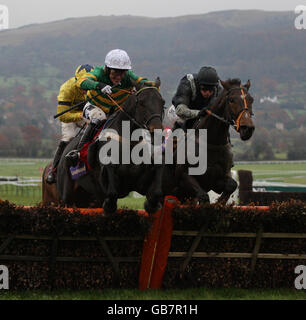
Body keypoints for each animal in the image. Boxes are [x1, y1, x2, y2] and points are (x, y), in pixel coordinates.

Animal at [55, 78, 165, 212]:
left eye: (162, 102)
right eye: (141, 103)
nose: (157, 132)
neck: (130, 143)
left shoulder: (139, 180)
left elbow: (156, 190)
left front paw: (152, 204)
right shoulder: (105, 179)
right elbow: (111, 190)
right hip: (66, 194)